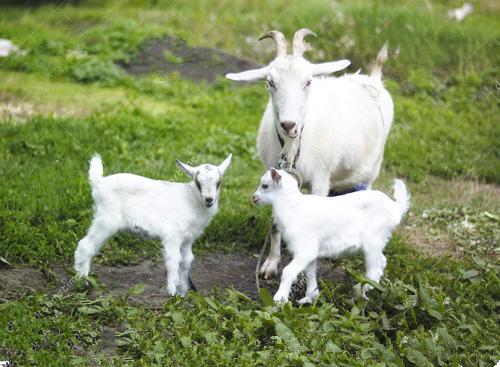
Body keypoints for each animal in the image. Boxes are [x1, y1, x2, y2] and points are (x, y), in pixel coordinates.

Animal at [227, 28, 394, 278]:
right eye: (270, 82)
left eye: (308, 81)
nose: (289, 125)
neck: (292, 147)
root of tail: (372, 79)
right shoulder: (274, 176)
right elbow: (275, 223)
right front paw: (271, 264)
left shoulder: (320, 178)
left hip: (371, 169)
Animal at [252, 170, 408, 304]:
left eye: (265, 185)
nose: (253, 198)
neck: (293, 208)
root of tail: (396, 208)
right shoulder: (310, 252)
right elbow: (310, 274)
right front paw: (310, 298)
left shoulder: (305, 249)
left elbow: (288, 271)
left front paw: (279, 299)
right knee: (382, 262)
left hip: (372, 242)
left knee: (373, 270)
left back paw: (362, 296)